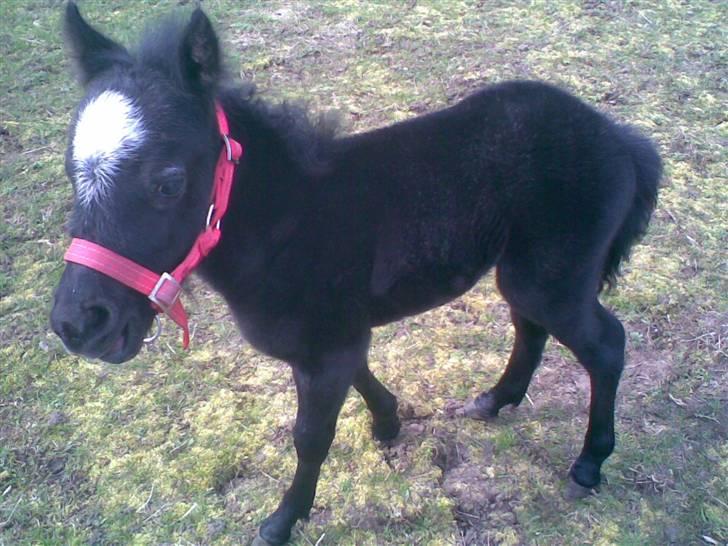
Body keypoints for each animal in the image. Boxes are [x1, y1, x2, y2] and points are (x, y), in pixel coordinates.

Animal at [51, 3, 660, 540]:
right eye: (71, 172)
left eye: (169, 181)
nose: (79, 324)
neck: (288, 224)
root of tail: (620, 138)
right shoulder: (333, 339)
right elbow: (361, 377)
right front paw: (389, 424)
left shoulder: (326, 347)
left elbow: (310, 435)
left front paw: (282, 522)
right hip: (523, 273)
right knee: (530, 327)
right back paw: (494, 401)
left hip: (553, 279)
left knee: (606, 344)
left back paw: (589, 464)